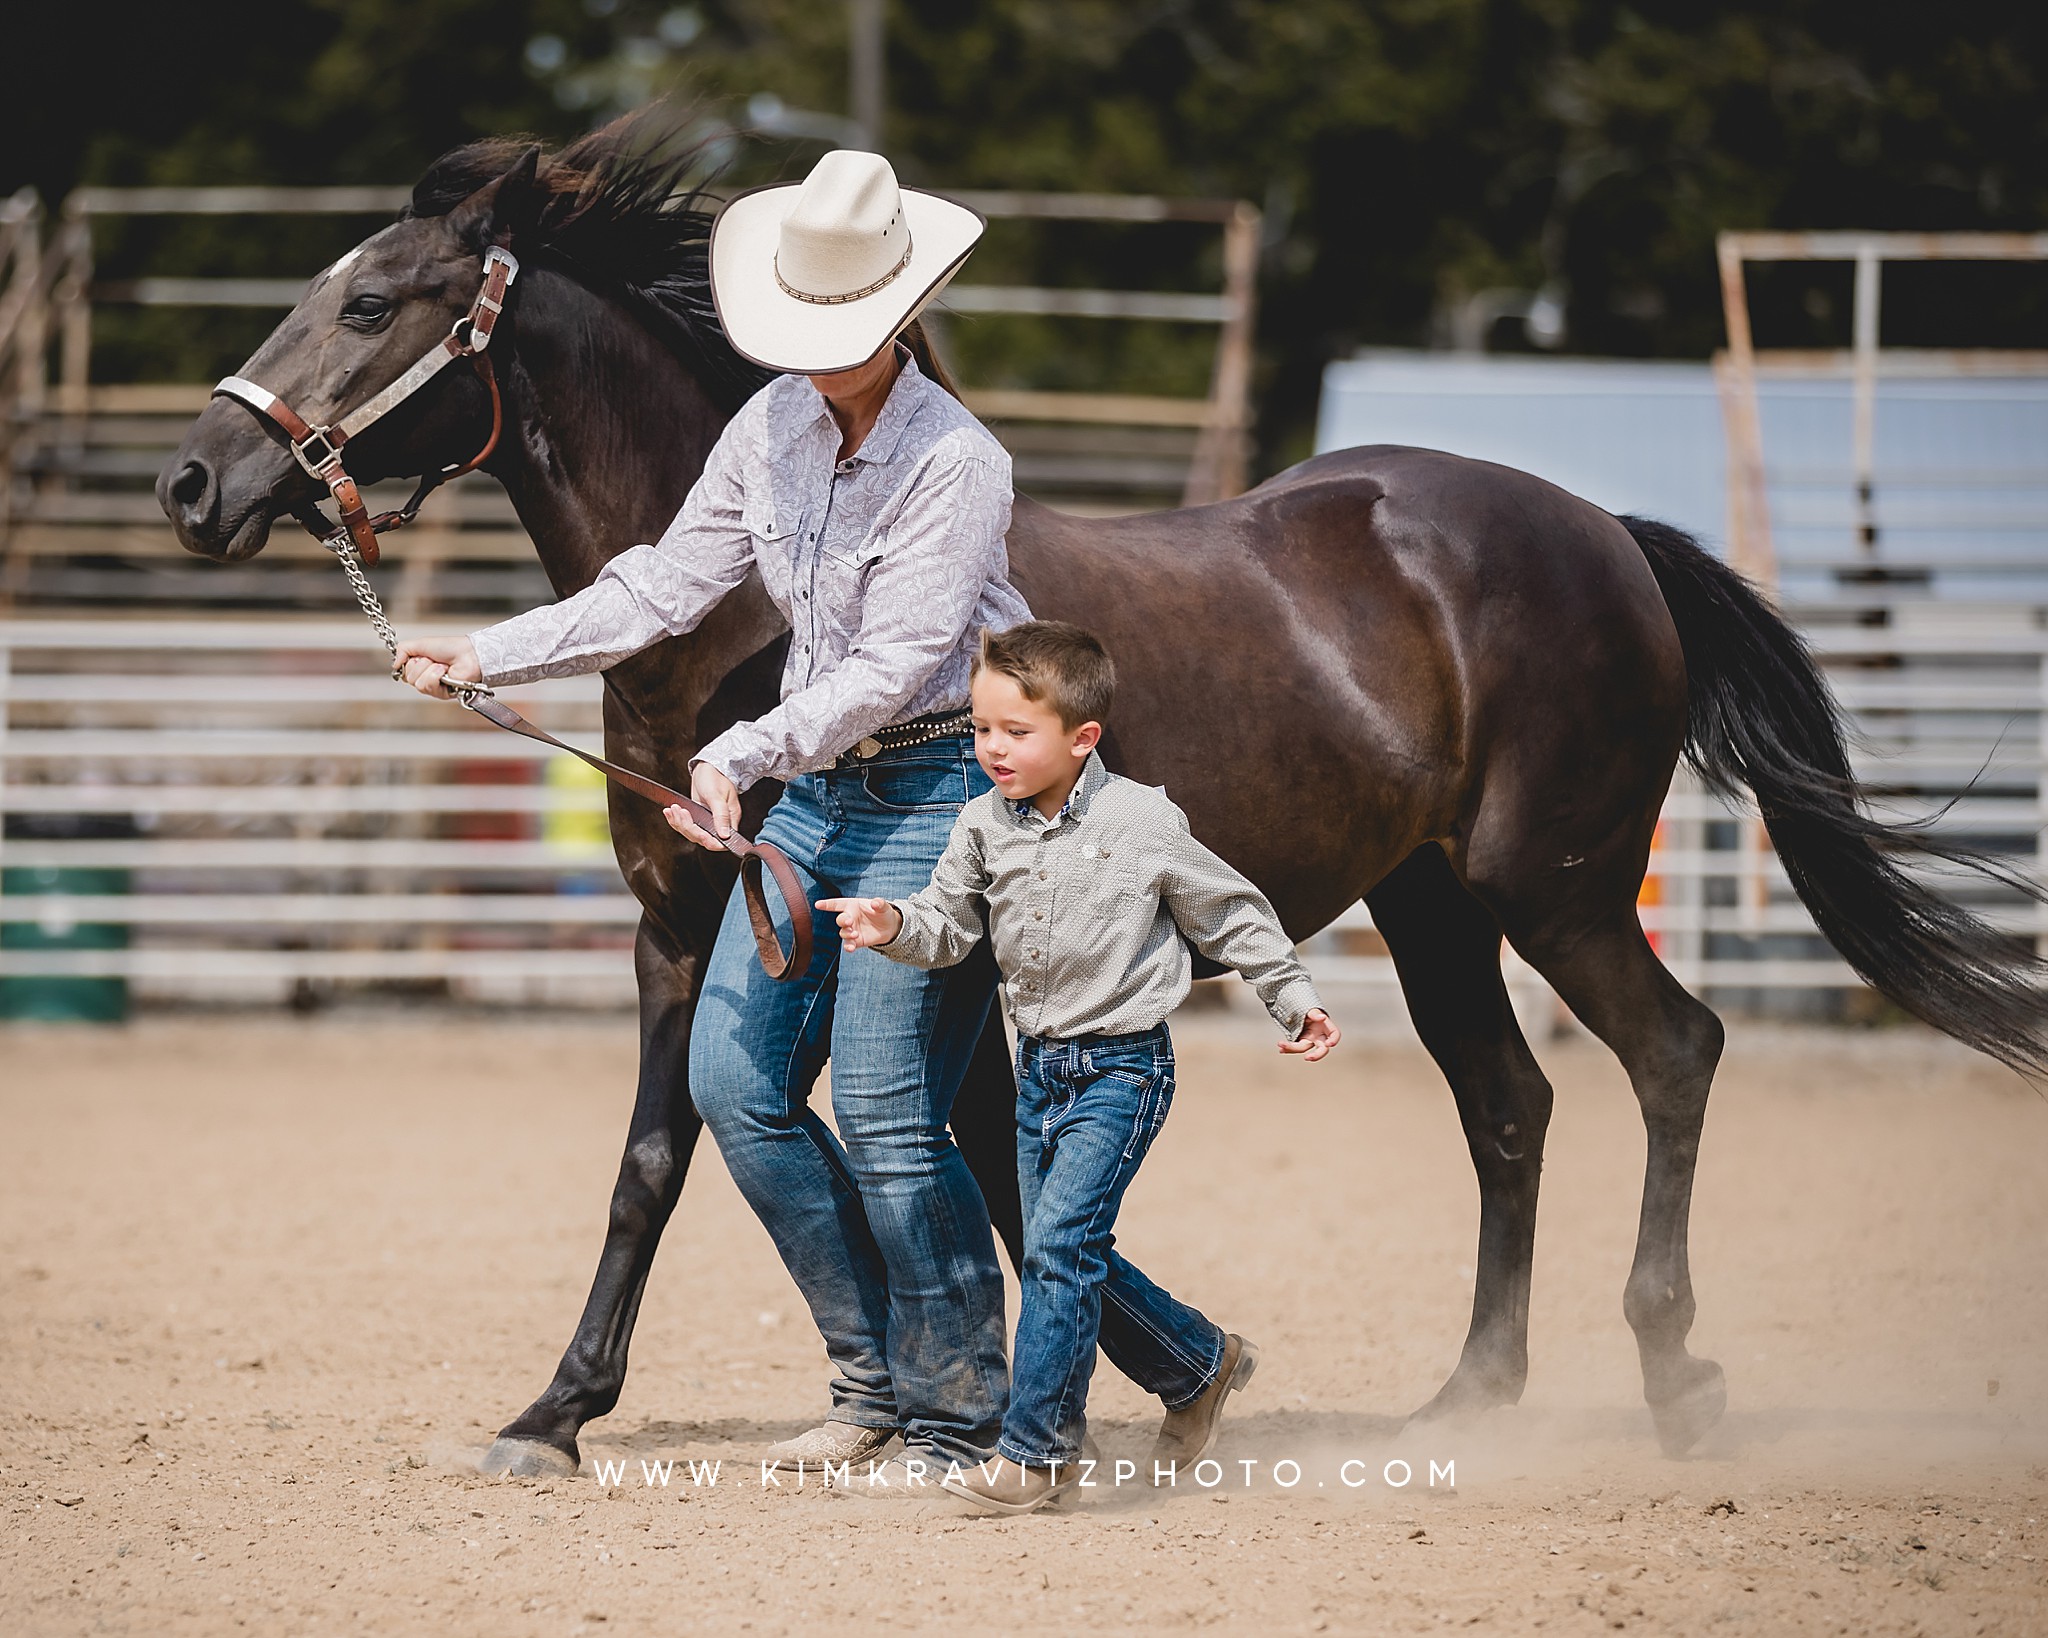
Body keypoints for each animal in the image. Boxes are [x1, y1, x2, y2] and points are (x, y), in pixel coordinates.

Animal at [155, 115, 2048, 1474]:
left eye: (371, 304)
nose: (193, 479)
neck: (742, 619)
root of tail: (1607, 536)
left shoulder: (894, 942)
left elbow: (954, 1161)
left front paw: (1121, 1375)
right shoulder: (688, 927)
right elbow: (666, 1156)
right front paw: (556, 1410)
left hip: (1558, 883)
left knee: (1675, 1054)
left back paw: (1674, 1376)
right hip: (1430, 899)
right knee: (1507, 1103)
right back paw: (1469, 1395)